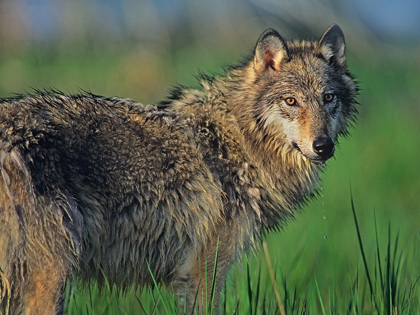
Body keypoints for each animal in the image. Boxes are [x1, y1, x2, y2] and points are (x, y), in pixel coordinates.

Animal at [0, 24, 358, 314]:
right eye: (291, 102)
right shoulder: (203, 273)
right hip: (51, 280)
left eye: (328, 98)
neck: (238, 141)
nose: (323, 146)